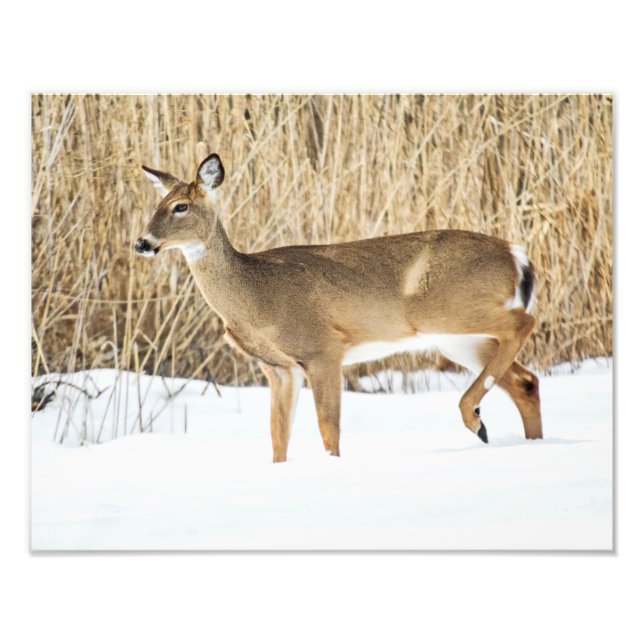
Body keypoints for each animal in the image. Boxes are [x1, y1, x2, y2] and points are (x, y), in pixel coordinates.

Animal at [135, 151, 543, 462]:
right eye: (156, 205)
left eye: (180, 206)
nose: (142, 243)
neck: (255, 294)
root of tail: (516, 255)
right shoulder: (279, 368)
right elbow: (277, 438)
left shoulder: (323, 349)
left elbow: (327, 429)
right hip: (454, 337)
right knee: (525, 380)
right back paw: (521, 438)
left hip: (446, 309)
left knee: (524, 323)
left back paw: (474, 418)